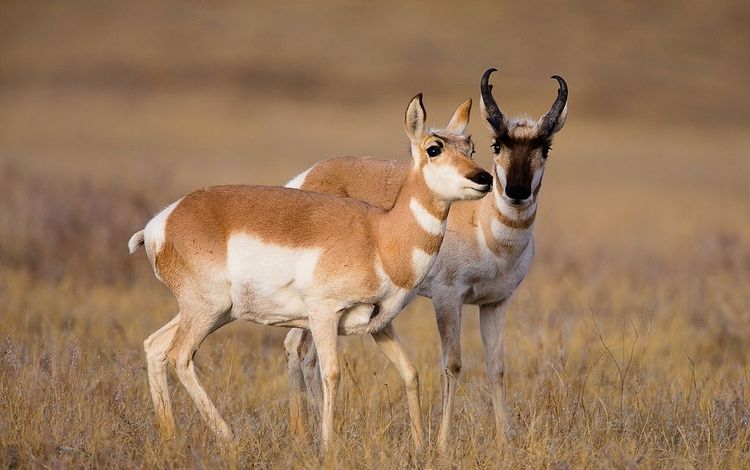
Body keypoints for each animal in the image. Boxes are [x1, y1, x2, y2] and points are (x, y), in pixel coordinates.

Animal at [127, 94, 493, 454]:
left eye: (470, 147)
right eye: (434, 148)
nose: (484, 179)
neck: (379, 235)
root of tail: (163, 222)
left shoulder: (379, 324)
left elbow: (410, 372)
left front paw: (419, 448)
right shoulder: (323, 314)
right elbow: (331, 374)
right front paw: (328, 448)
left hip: (216, 313)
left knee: (155, 346)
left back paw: (171, 438)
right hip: (207, 310)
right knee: (180, 356)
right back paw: (228, 437)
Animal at [284, 68, 568, 453]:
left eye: (545, 147)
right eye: (498, 144)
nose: (517, 192)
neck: (484, 226)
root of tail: (308, 177)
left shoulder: (495, 303)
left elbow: (496, 366)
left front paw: (504, 439)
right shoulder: (448, 299)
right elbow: (453, 363)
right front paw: (443, 443)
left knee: (302, 352)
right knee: (299, 350)